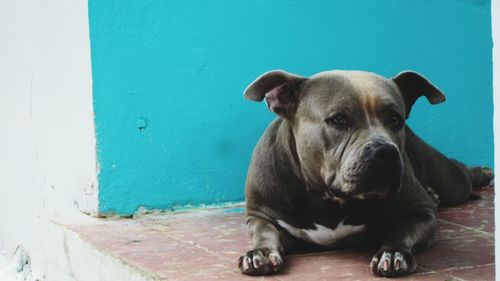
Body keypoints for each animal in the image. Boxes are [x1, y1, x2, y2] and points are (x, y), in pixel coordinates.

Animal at [238, 69, 492, 276]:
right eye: (338, 119)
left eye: (395, 119)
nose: (386, 151)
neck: (327, 198)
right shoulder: (259, 214)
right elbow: (264, 231)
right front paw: (260, 252)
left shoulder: (421, 212)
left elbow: (402, 230)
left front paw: (393, 253)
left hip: (450, 181)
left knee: (460, 173)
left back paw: (481, 173)